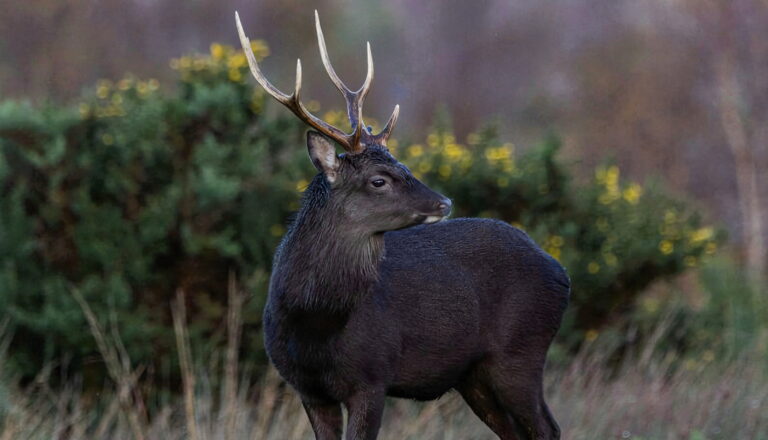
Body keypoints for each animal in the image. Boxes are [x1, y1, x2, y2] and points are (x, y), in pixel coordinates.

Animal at [235, 11, 570, 440]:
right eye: (379, 179)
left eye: (405, 167)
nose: (444, 201)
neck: (314, 321)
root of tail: (561, 272)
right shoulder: (307, 389)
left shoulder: (372, 375)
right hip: (474, 375)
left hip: (521, 351)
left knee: (547, 427)